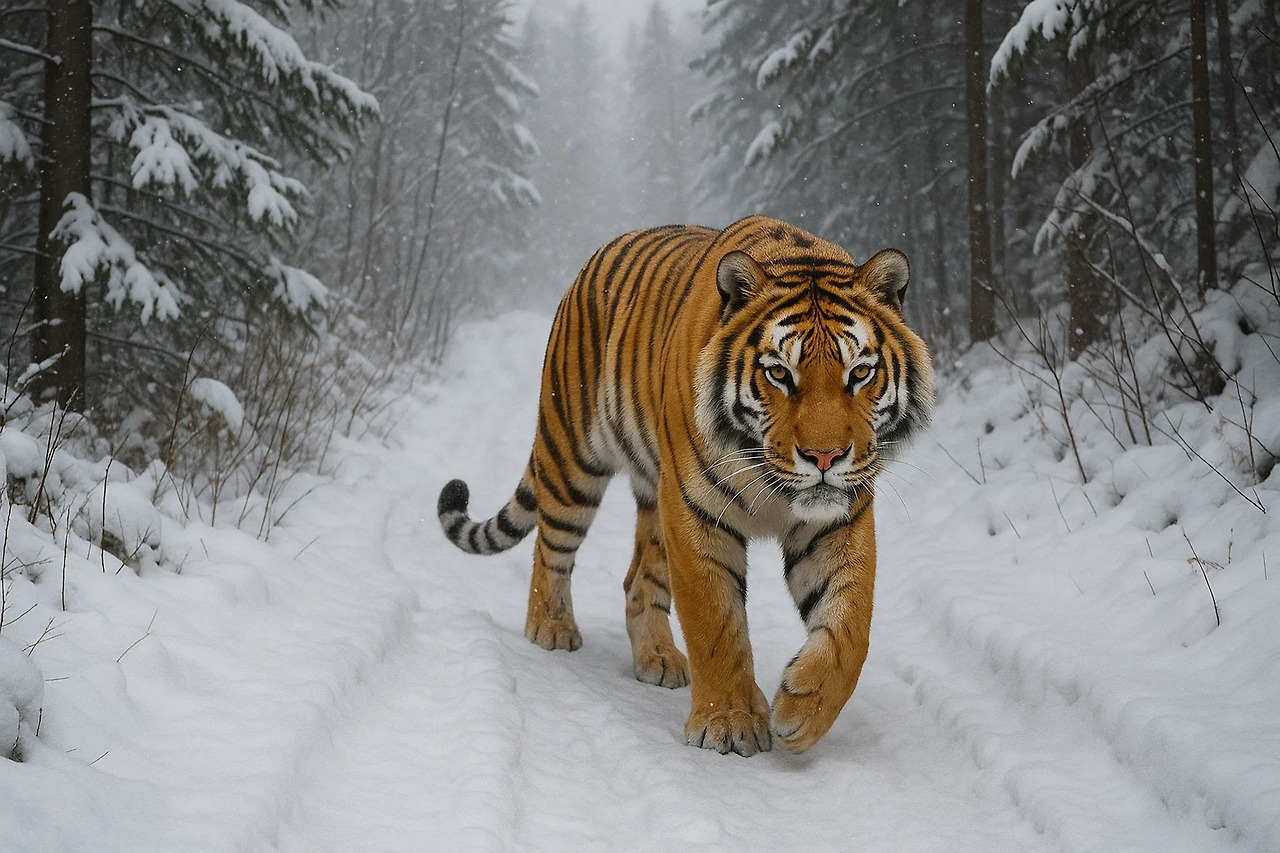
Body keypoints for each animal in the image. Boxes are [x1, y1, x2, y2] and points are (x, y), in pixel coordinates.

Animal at [437, 215, 934, 756]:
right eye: (779, 374)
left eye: (860, 372)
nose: (825, 457)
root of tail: (593, 260)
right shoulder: (697, 512)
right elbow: (714, 620)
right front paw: (730, 721)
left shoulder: (837, 518)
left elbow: (851, 623)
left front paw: (802, 710)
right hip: (574, 460)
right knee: (551, 548)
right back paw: (550, 627)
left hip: (656, 500)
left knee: (638, 579)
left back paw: (658, 658)